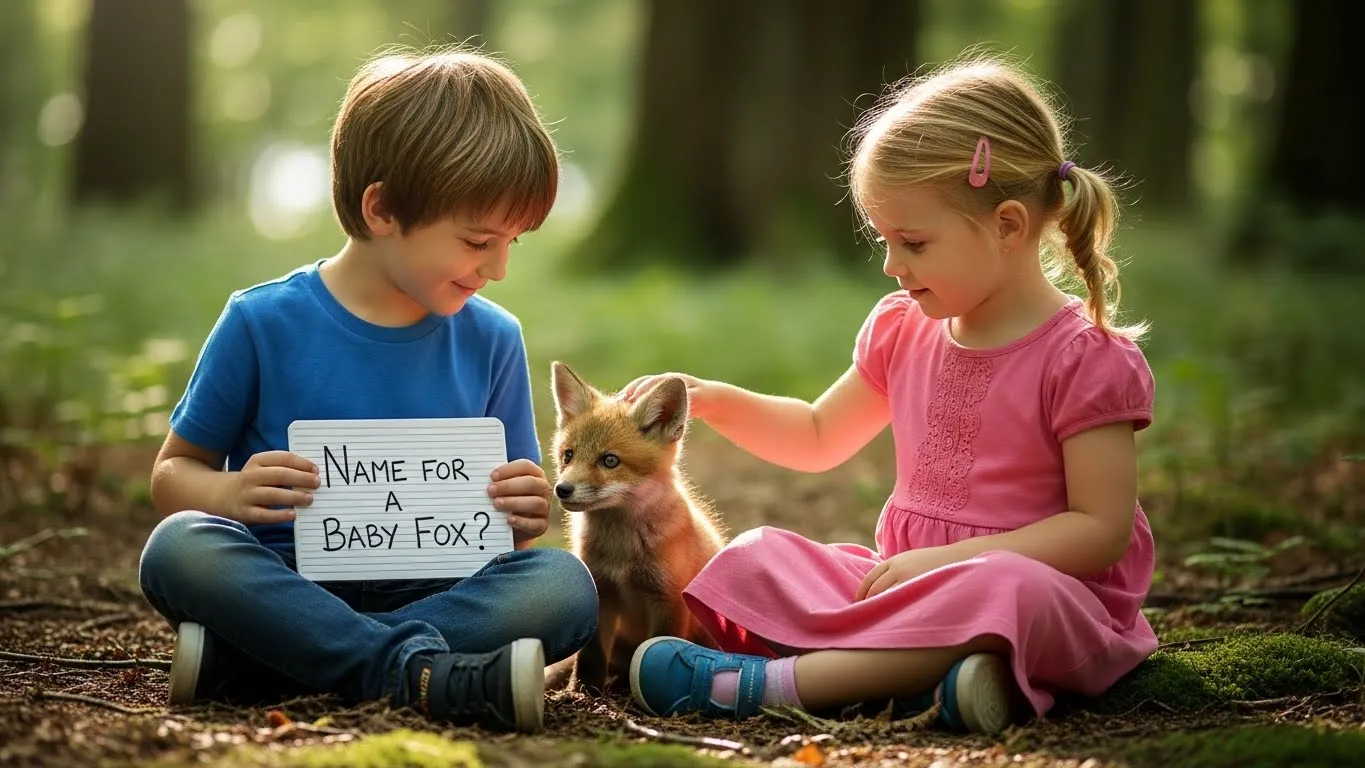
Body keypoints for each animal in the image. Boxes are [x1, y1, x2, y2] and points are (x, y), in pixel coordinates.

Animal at [545, 361, 727, 693]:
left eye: (609, 460)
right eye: (568, 455)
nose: (562, 490)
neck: (623, 551)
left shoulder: (668, 599)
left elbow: (659, 646)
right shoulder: (602, 591)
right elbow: (589, 655)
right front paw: (581, 693)